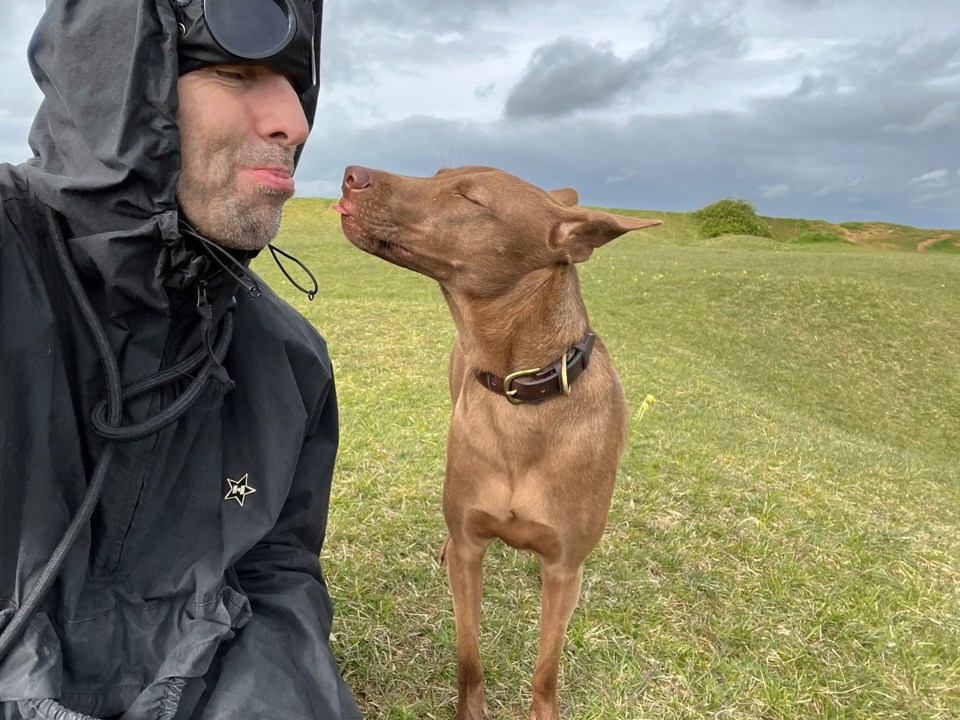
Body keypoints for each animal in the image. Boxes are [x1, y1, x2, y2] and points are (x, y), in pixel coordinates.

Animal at [336, 166, 660, 716]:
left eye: (470, 198)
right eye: (439, 173)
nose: (350, 174)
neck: (521, 395)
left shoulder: (565, 567)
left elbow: (546, 670)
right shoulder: (471, 549)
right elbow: (469, 656)